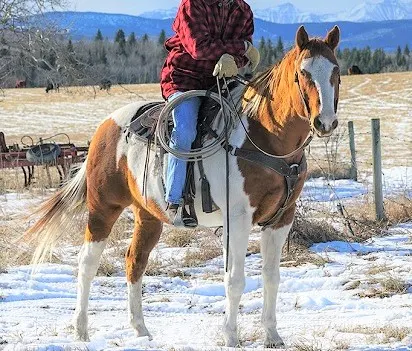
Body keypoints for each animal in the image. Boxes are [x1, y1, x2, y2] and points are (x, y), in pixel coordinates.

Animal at [25, 25, 342, 350]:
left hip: (148, 215)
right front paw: (230, 337)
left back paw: (141, 330)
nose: (325, 122)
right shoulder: (238, 219)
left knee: (134, 262)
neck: (265, 137)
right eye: (303, 73)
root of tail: (105, 126)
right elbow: (234, 279)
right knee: (87, 263)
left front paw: (273, 335)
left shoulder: (281, 219)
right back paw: (81, 331)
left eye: (336, 70)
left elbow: (272, 277)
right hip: (103, 207)